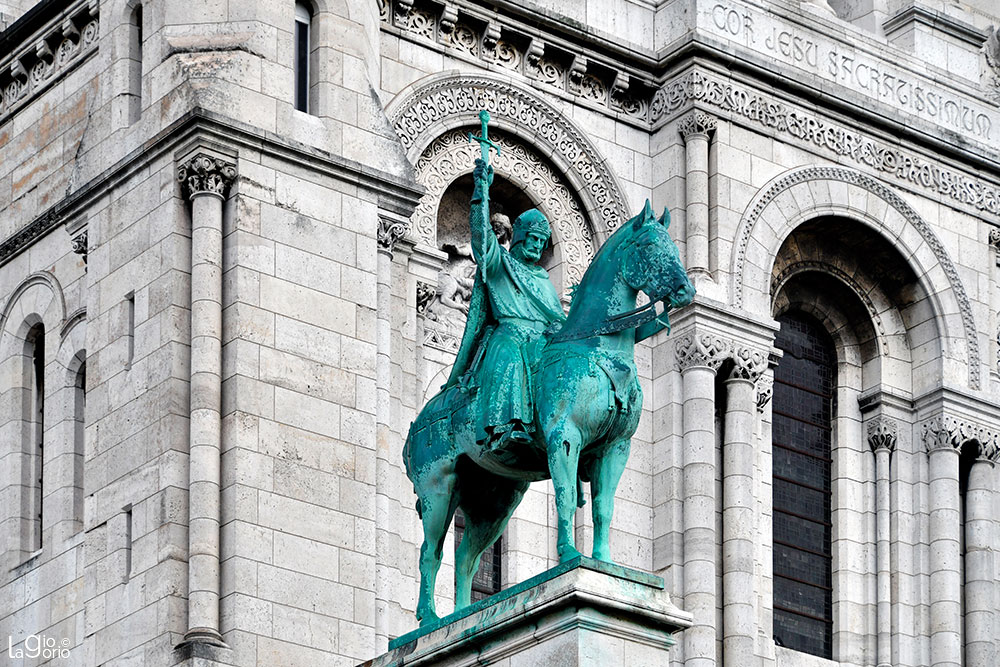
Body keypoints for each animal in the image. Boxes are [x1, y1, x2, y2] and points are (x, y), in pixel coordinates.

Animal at [402, 201, 692, 624]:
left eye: (674, 247)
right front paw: (570, 555)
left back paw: (463, 615)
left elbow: (603, 507)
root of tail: (415, 425)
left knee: (465, 557)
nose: (687, 291)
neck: (598, 348)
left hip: (495, 499)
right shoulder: (564, 438)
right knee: (430, 553)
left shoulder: (614, 448)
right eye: (651, 246)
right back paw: (428, 619)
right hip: (438, 487)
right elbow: (566, 495)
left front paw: (603, 563)